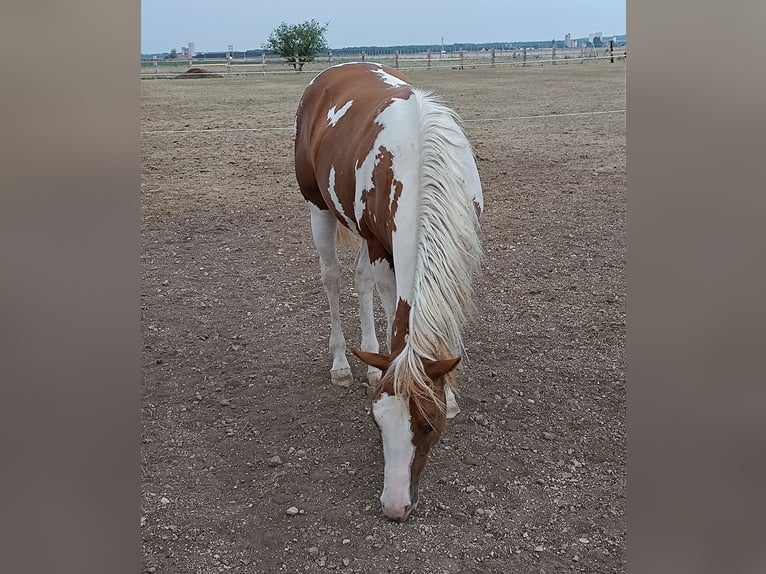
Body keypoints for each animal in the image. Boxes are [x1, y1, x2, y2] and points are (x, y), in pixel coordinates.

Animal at [294, 62, 483, 522]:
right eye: (377, 423)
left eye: (428, 424)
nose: (394, 506)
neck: (418, 162)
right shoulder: (383, 246)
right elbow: (390, 298)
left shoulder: (463, 245)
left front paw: (449, 390)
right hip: (318, 206)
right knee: (332, 279)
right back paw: (344, 364)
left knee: (358, 278)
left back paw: (370, 362)